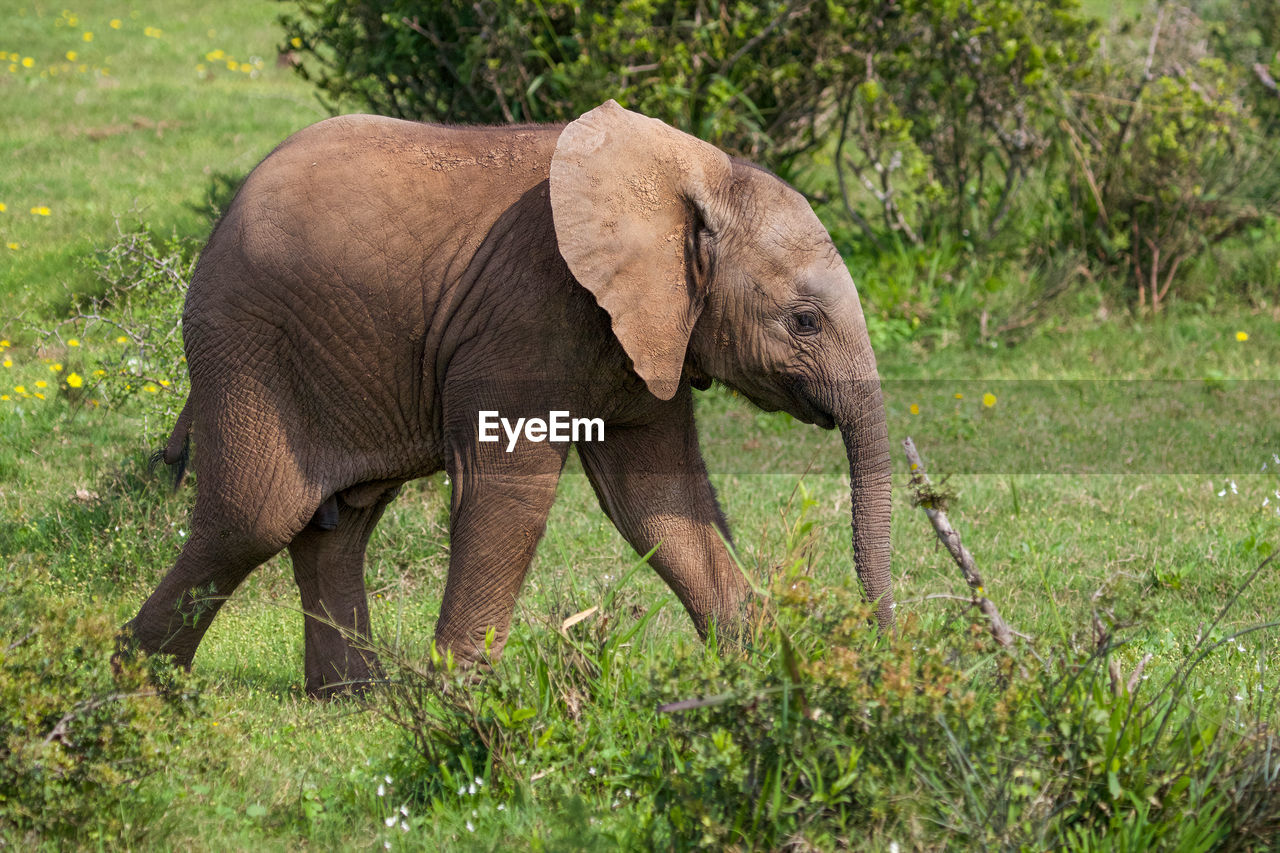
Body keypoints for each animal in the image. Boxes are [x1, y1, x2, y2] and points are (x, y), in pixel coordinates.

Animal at [124, 101, 896, 696]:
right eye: (804, 320)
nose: (881, 649)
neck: (692, 177)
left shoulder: (653, 330)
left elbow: (660, 500)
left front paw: (762, 669)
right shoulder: (529, 309)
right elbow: (511, 491)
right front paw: (463, 701)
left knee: (338, 523)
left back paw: (351, 698)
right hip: (249, 341)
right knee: (254, 517)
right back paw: (134, 685)